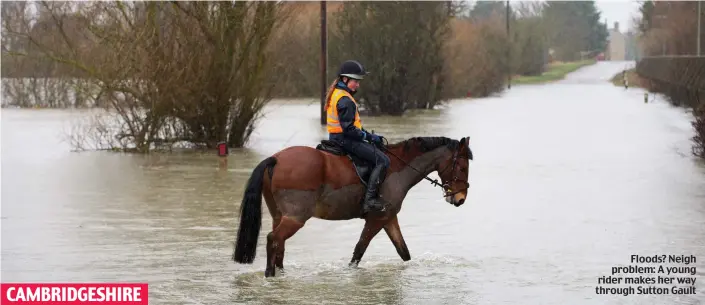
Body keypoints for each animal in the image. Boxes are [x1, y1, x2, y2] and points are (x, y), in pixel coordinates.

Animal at [231, 135, 472, 276]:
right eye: (461, 166)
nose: (460, 199)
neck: (397, 168)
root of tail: (276, 159)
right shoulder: (377, 219)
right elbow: (359, 250)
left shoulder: (389, 218)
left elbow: (403, 252)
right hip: (296, 218)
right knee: (274, 239)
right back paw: (270, 275)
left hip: (279, 215)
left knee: (278, 243)